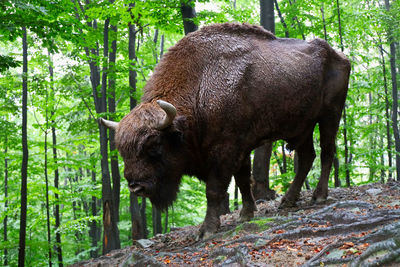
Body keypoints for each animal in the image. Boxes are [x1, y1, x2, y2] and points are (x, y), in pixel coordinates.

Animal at [101, 23, 350, 239]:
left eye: (154, 146)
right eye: (122, 150)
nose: (136, 186)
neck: (200, 87)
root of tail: (341, 57)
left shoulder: (225, 151)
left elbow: (214, 190)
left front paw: (206, 230)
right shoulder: (240, 148)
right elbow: (243, 180)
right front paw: (246, 214)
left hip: (330, 115)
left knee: (327, 152)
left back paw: (318, 196)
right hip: (302, 128)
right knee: (307, 157)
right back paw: (287, 200)